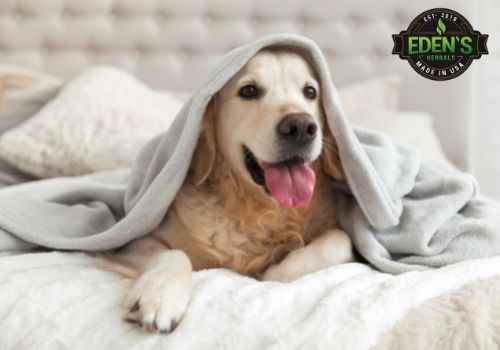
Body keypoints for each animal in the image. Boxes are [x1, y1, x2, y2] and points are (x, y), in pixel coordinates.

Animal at [111, 48, 354, 334]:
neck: (258, 210)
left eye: (310, 91)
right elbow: (173, 253)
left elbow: (340, 240)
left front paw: (273, 271)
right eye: (248, 90)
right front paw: (159, 296)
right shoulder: (133, 242)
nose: (301, 127)